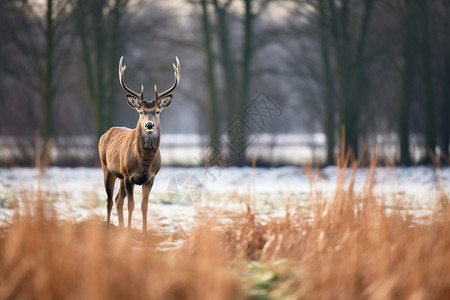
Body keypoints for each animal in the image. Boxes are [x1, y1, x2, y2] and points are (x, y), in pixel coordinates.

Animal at [99, 56, 180, 232]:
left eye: (157, 111)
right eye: (141, 112)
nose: (149, 125)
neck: (144, 163)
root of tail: (106, 133)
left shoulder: (150, 178)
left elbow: (144, 206)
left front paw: (143, 232)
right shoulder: (129, 175)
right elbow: (131, 205)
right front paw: (130, 231)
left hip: (120, 176)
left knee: (118, 200)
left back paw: (120, 228)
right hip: (107, 168)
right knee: (109, 200)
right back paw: (108, 228)